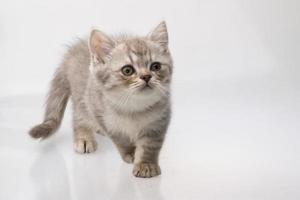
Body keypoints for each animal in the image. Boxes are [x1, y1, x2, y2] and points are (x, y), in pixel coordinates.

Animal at [29, 21, 173, 178]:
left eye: (156, 66)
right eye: (127, 70)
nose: (146, 76)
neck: (134, 108)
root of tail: (73, 50)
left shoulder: (160, 120)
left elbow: (150, 144)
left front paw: (146, 164)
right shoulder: (101, 114)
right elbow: (121, 139)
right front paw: (130, 153)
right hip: (82, 98)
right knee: (79, 117)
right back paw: (84, 137)